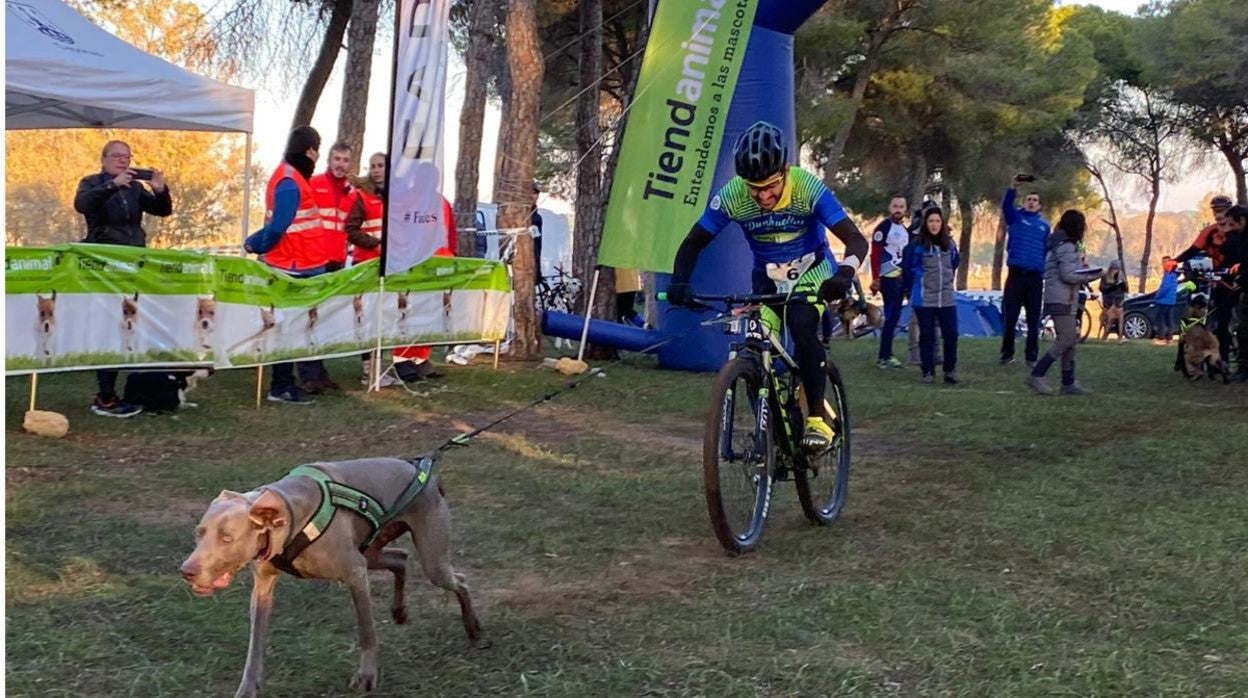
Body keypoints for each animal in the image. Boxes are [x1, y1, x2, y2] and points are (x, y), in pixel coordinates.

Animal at [180, 459, 481, 698]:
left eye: (227, 538)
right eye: (199, 532)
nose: (186, 572)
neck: (293, 515)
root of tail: (428, 476)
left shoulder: (355, 573)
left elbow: (367, 632)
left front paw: (366, 676)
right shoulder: (263, 588)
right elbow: (255, 644)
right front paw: (247, 689)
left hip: (429, 559)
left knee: (459, 579)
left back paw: (473, 627)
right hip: (371, 550)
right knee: (401, 558)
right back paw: (399, 611)